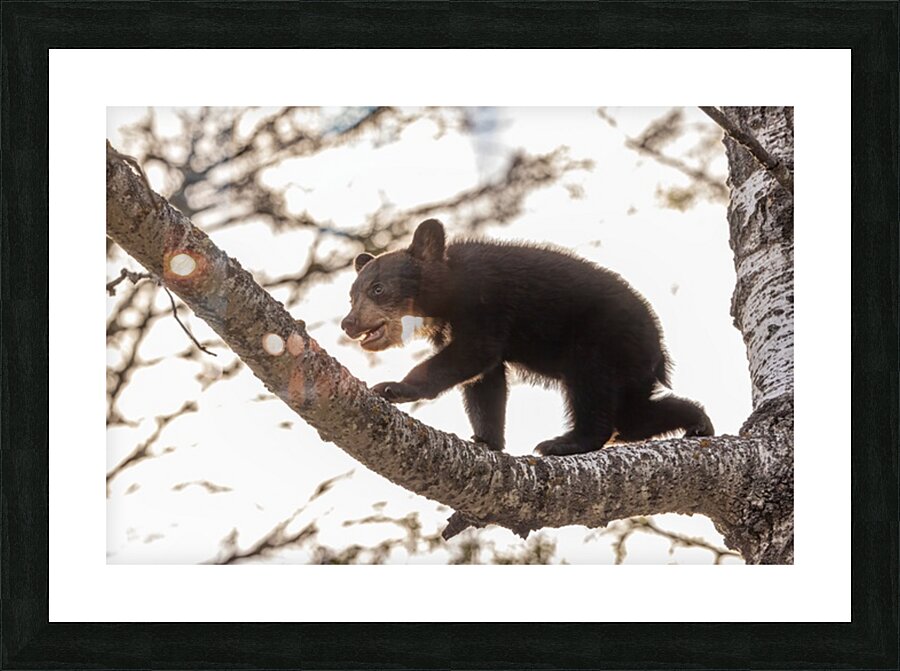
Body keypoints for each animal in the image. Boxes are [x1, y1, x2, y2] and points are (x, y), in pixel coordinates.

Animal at [340, 219, 714, 456]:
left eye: (377, 288)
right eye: (351, 295)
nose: (348, 323)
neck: (447, 295)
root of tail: (659, 349)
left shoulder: (484, 301)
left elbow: (473, 353)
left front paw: (393, 387)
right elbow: (485, 382)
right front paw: (486, 440)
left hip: (603, 341)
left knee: (593, 391)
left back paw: (564, 443)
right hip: (630, 368)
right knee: (634, 416)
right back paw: (698, 422)